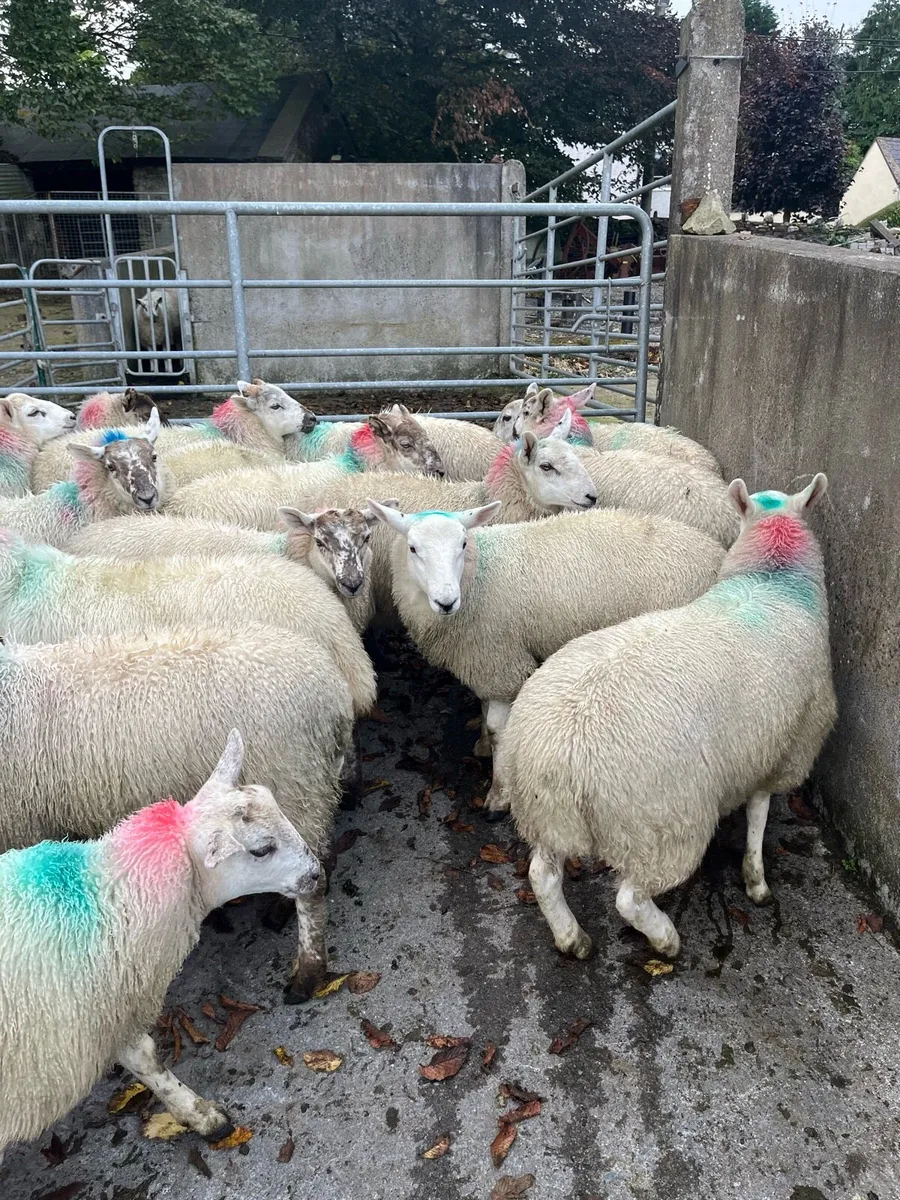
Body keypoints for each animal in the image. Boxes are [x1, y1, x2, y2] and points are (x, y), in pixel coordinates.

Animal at [0, 730, 320, 1156]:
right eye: (261, 850)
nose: (316, 873)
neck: (108, 902)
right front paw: (201, 1114)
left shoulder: (102, 1012)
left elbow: (145, 1060)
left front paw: (198, 1114)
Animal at [368, 497, 725, 810]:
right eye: (413, 548)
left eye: (464, 544)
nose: (446, 601)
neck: (480, 577)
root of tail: (715, 553)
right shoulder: (484, 658)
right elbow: (482, 707)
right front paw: (481, 745)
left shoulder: (502, 658)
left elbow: (498, 730)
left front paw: (499, 794)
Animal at [498, 475, 836, 961]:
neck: (772, 579)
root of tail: (557, 750)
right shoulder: (782, 748)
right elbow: (758, 815)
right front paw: (756, 881)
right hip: (660, 824)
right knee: (629, 898)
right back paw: (665, 939)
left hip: (546, 814)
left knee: (542, 875)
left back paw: (573, 939)